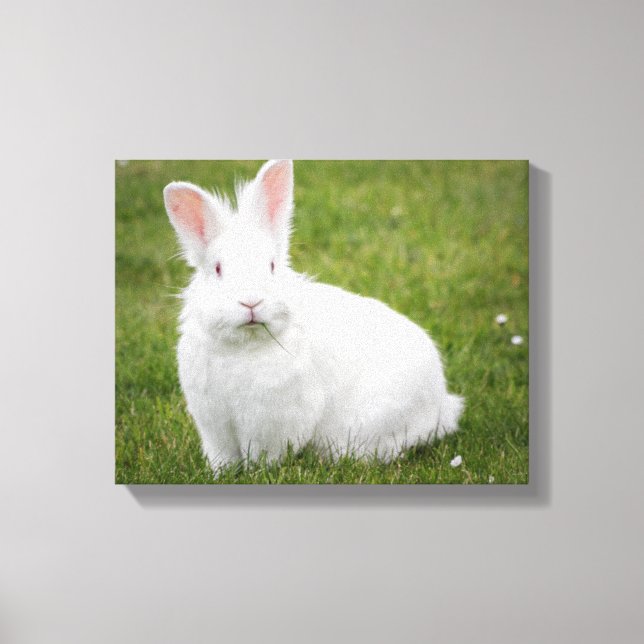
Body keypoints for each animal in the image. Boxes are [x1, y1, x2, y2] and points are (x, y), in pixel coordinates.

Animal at [164, 160, 464, 473]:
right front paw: (220, 474)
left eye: (272, 265)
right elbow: (222, 457)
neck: (244, 347)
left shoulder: (273, 424)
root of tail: (442, 401)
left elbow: (264, 455)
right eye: (218, 269)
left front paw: (259, 472)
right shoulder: (215, 428)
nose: (251, 301)